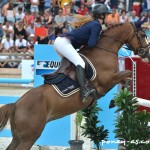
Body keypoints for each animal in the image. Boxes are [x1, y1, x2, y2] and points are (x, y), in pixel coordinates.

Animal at [0, 22, 150, 149]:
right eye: (143, 35)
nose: (146, 53)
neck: (105, 50)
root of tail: (16, 105)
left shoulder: (113, 78)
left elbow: (126, 78)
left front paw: (121, 98)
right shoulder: (108, 79)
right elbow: (127, 73)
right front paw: (119, 99)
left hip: (18, 137)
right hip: (29, 137)